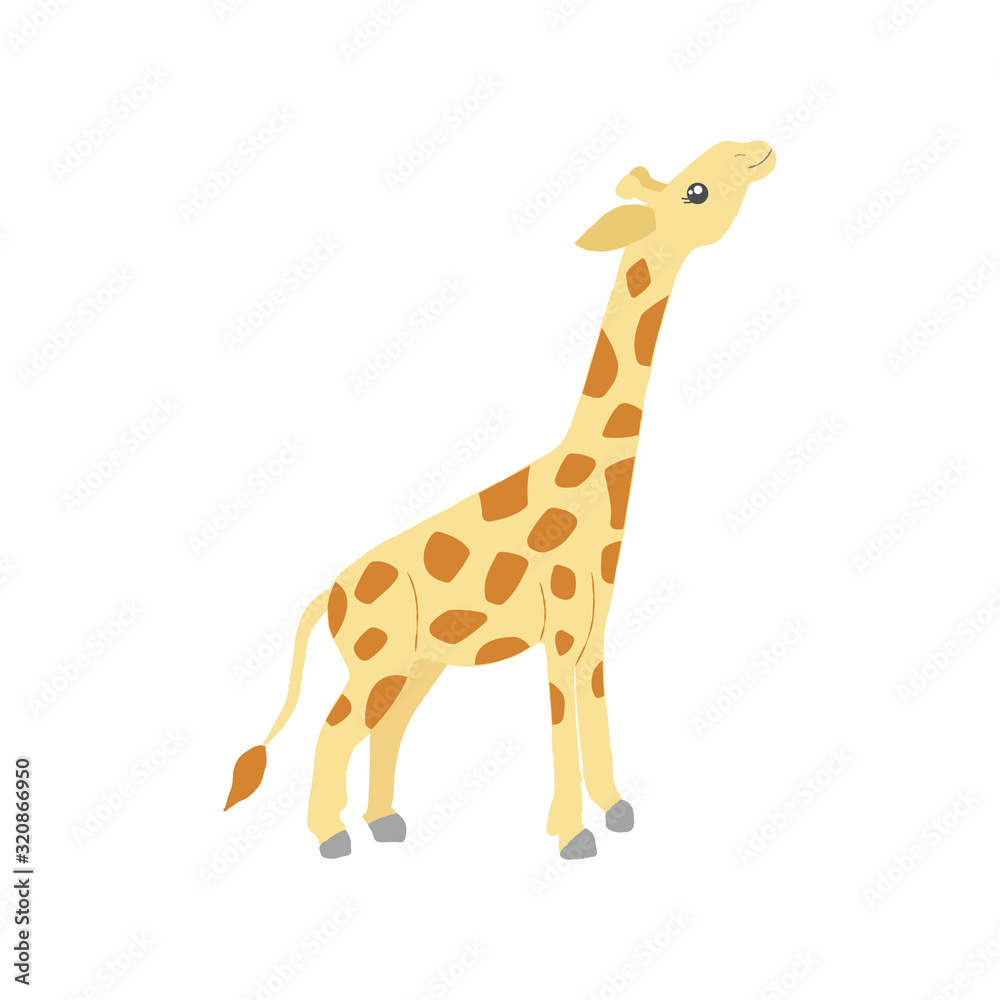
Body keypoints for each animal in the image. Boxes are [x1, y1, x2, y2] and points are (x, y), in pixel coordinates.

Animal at [225, 140, 776, 859]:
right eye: (697, 191)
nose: (756, 149)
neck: (592, 482)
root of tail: (330, 596)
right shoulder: (561, 627)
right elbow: (561, 712)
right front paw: (572, 835)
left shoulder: (595, 628)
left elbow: (594, 704)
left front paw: (616, 809)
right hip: (377, 655)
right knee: (337, 725)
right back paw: (332, 838)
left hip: (418, 662)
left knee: (387, 725)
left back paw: (385, 823)